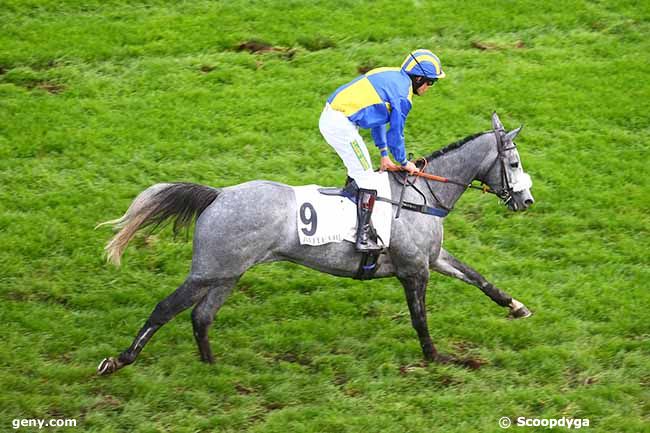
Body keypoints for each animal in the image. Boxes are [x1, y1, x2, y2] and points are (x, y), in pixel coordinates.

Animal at [96, 112, 532, 374]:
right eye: (513, 163)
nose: (526, 201)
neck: (420, 196)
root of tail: (217, 195)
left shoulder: (434, 257)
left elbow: (479, 279)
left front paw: (517, 306)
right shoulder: (414, 269)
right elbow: (419, 318)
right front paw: (437, 356)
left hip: (227, 274)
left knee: (201, 317)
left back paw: (212, 367)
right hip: (208, 271)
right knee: (165, 308)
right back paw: (119, 360)